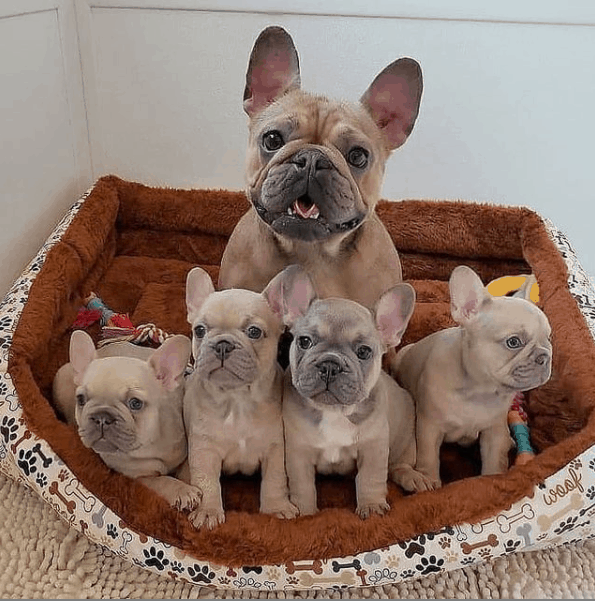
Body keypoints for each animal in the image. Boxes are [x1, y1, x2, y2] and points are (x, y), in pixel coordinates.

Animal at [52, 330, 200, 508]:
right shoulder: (140, 478)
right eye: (80, 399)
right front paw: (183, 491)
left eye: (135, 403)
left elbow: (188, 469)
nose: (102, 417)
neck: (147, 444)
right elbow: (163, 481)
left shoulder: (182, 452)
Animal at [184, 264, 298, 528]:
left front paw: (276, 507)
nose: (223, 344)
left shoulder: (275, 449)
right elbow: (206, 482)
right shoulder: (204, 451)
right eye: (199, 330)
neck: (236, 400)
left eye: (254, 331)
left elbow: (275, 479)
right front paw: (208, 511)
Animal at [272, 264, 434, 516]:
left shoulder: (373, 447)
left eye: (364, 352)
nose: (330, 364)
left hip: (405, 441)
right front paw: (306, 513)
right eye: (305, 341)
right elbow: (302, 485)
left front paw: (372, 506)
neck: (335, 411)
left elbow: (370, 478)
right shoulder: (298, 453)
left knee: (399, 465)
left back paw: (414, 478)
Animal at [392, 266, 556, 488]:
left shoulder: (494, 431)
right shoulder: (429, 427)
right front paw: (430, 481)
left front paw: (490, 480)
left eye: (548, 338)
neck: (480, 389)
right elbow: (429, 458)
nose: (544, 356)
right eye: (513, 342)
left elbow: (494, 461)